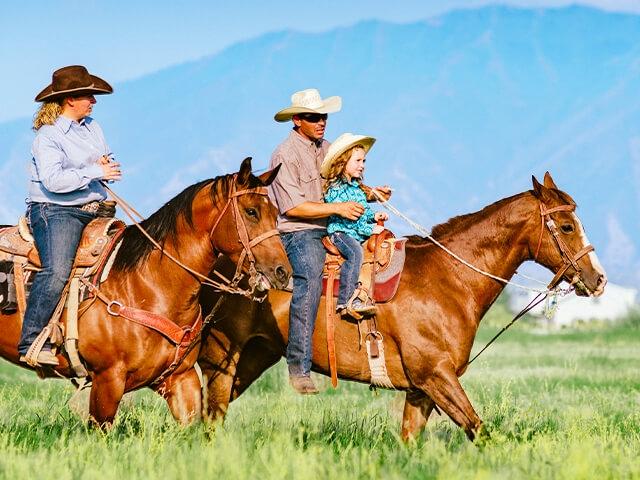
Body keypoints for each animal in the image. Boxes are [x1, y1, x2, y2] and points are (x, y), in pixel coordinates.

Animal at [0, 157, 291, 427]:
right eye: (251, 211)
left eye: (275, 212)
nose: (282, 271)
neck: (148, 284)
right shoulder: (108, 380)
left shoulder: (181, 378)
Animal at [197, 173, 607, 441]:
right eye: (567, 226)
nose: (598, 278)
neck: (449, 278)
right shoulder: (436, 376)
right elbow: (479, 429)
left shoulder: (420, 390)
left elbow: (412, 439)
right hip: (222, 358)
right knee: (209, 414)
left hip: (254, 357)